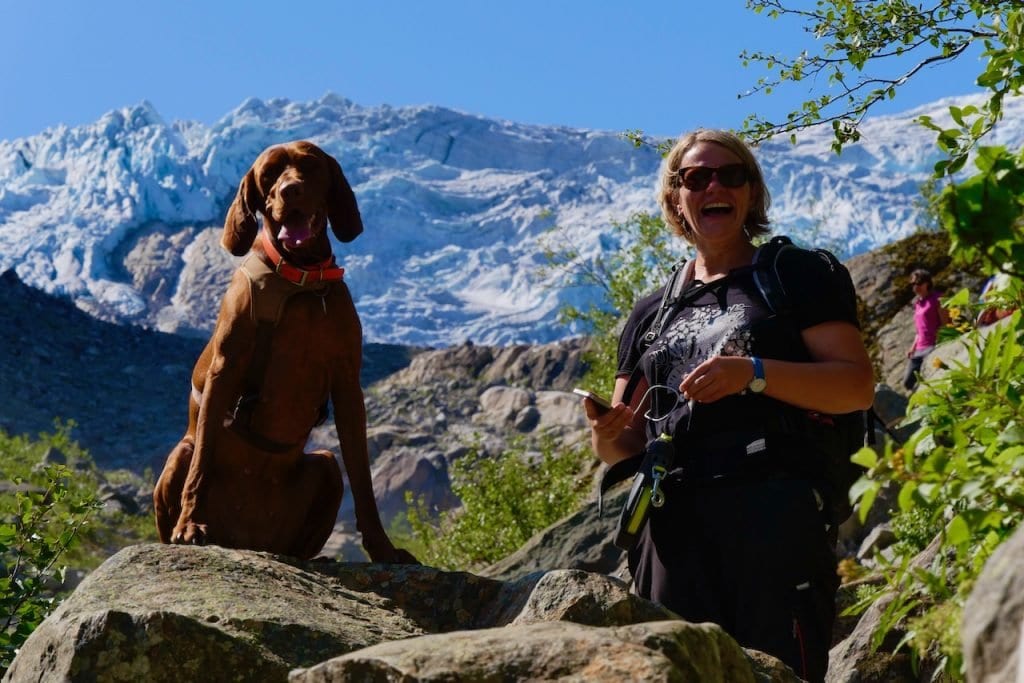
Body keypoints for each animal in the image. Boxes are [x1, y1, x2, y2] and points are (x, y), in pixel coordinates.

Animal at [150, 139, 411, 561]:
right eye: (269, 173)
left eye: (310, 165)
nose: (290, 190)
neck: (301, 280)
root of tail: (250, 541)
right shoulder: (225, 370)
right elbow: (203, 461)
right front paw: (189, 524)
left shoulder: (347, 383)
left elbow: (363, 478)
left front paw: (382, 548)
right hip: (179, 452)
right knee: (191, 455)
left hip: (324, 466)